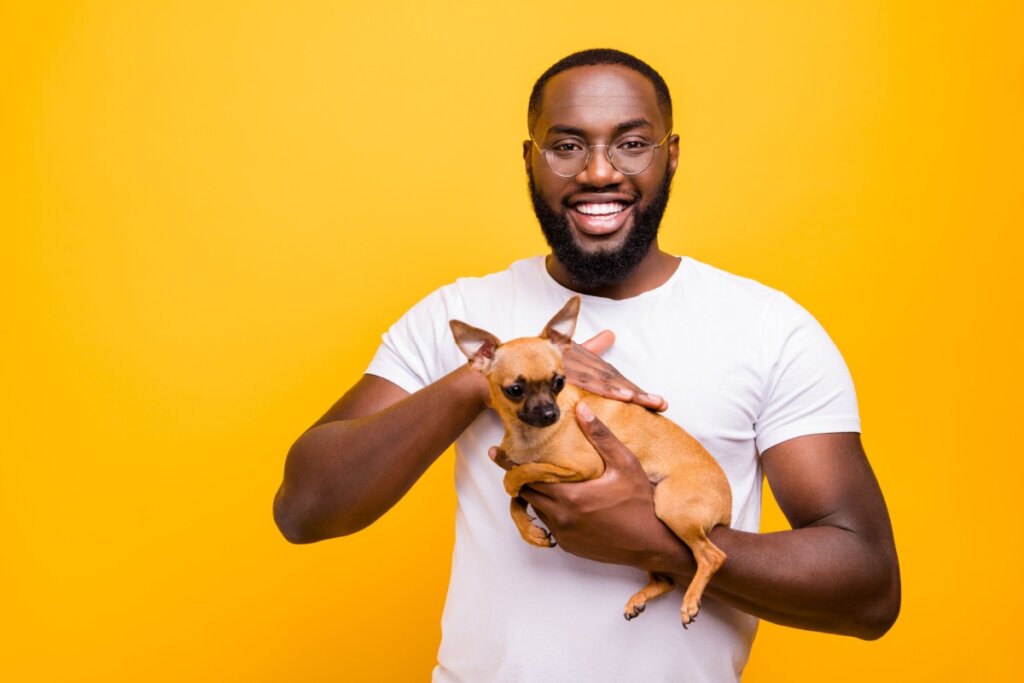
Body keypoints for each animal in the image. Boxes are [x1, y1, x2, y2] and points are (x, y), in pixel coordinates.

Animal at [452, 296, 733, 626]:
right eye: (515, 390)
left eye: (559, 382)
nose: (550, 414)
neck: (527, 435)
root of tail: (727, 507)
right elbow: (517, 499)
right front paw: (530, 531)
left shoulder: (587, 468)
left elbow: (526, 473)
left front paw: (512, 482)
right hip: (648, 542)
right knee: (667, 579)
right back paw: (642, 598)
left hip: (672, 509)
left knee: (712, 556)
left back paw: (690, 602)